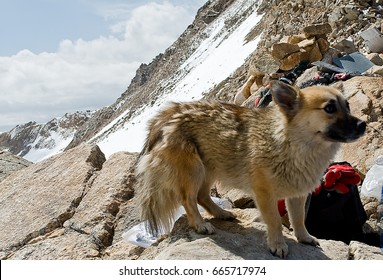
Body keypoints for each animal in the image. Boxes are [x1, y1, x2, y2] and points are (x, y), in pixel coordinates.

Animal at [134, 81, 366, 258]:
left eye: (347, 106)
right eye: (329, 108)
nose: (363, 125)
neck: (292, 144)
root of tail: (164, 116)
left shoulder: (297, 194)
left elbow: (298, 218)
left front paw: (304, 237)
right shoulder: (265, 194)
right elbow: (275, 221)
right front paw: (278, 245)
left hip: (211, 168)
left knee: (202, 196)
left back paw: (221, 213)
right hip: (194, 170)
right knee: (188, 199)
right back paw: (200, 225)